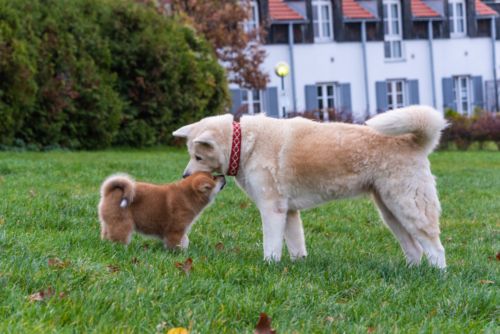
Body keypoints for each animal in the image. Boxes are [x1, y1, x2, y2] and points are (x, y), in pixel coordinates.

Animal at [97, 172, 225, 248]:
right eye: (214, 178)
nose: (223, 175)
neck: (188, 196)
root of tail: (108, 192)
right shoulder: (175, 231)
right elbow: (175, 244)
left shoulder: (181, 231)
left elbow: (185, 240)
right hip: (123, 225)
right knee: (118, 241)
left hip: (108, 223)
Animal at [173, 105, 450, 268]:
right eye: (191, 155)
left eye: (198, 157)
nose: (184, 175)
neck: (244, 146)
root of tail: (412, 141)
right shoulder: (289, 211)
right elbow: (296, 245)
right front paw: (297, 266)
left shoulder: (272, 209)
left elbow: (271, 246)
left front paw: (269, 267)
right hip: (390, 211)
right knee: (415, 249)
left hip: (408, 206)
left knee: (435, 247)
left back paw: (437, 275)